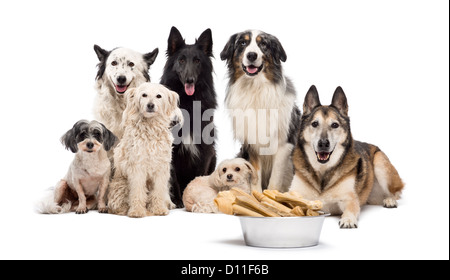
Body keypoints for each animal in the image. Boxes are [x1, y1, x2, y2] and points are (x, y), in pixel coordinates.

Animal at [107, 82, 183, 218]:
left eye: (159, 96)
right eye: (144, 95)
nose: (150, 105)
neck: (150, 128)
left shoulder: (161, 170)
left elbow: (158, 191)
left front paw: (159, 208)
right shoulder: (137, 169)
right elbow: (137, 191)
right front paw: (137, 210)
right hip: (121, 185)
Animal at [161, 26, 217, 208]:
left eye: (198, 61)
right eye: (181, 60)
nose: (190, 80)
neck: (189, 103)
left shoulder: (206, 149)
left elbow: (199, 175)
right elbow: (173, 178)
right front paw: (177, 200)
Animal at [221, 30, 302, 192]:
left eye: (263, 44)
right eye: (242, 43)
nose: (251, 55)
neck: (256, 88)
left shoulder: (283, 143)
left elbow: (275, 177)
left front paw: (271, 195)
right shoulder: (252, 142)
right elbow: (255, 172)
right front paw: (256, 194)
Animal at [290, 86, 406, 229]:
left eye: (335, 125)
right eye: (315, 124)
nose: (323, 143)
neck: (323, 172)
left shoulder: (349, 199)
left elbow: (350, 208)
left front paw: (348, 219)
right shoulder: (295, 193)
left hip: (380, 162)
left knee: (396, 192)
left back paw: (390, 200)